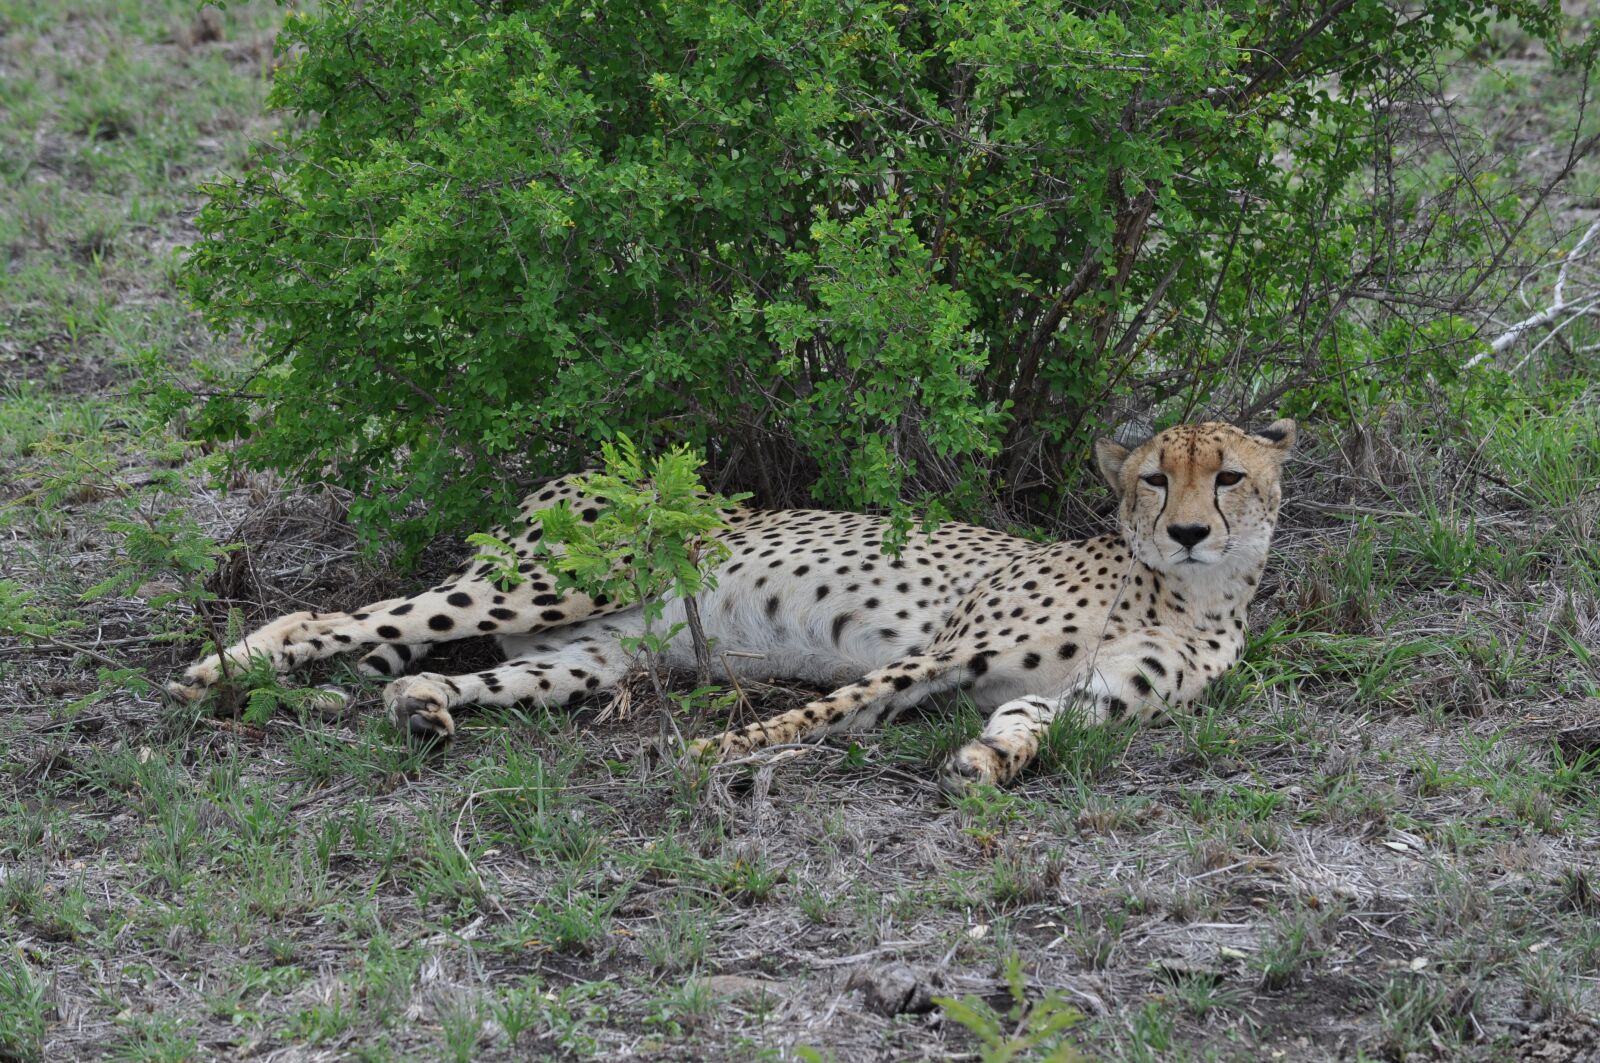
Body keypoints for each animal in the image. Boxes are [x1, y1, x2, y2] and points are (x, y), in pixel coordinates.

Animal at [168, 418, 1296, 790]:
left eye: (1227, 477)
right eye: (1154, 479)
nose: (1189, 528)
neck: (1183, 592)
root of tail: (590, 470)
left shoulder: (1086, 696)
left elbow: (1028, 722)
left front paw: (986, 762)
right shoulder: (933, 652)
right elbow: (822, 710)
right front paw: (710, 755)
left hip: (596, 651)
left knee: (471, 676)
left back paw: (422, 708)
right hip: (552, 579)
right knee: (345, 620)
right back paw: (219, 671)